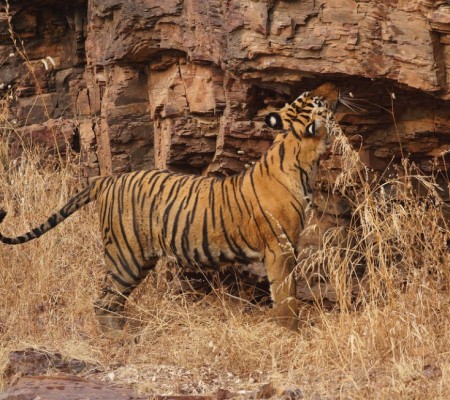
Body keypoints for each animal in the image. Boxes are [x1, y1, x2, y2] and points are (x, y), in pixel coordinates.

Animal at [0, 81, 340, 332]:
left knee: (112, 300)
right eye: (316, 99)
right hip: (125, 256)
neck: (297, 153)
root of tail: (106, 180)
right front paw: (290, 331)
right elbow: (286, 294)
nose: (334, 86)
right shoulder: (280, 248)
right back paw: (118, 336)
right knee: (102, 302)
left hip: (139, 259)